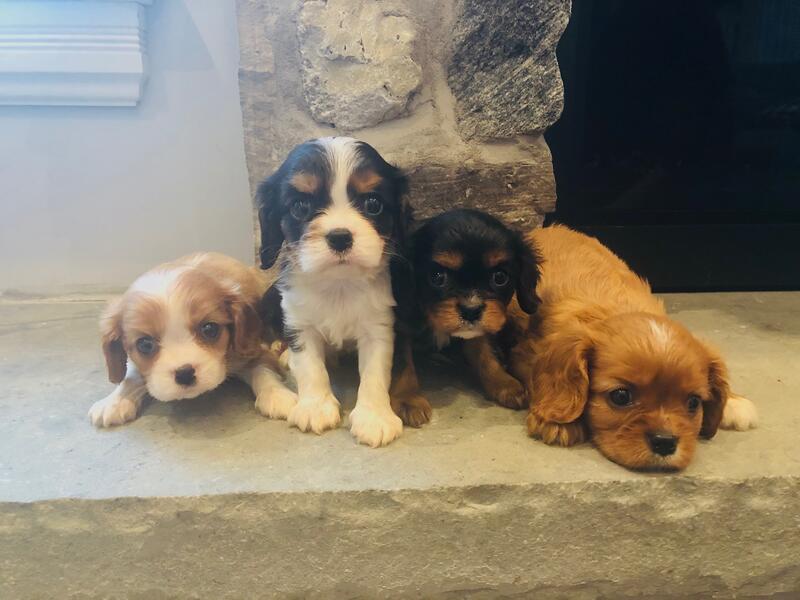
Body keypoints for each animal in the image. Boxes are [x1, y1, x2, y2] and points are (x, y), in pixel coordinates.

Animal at [89, 253, 295, 427]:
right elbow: (130, 375)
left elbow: (264, 370)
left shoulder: (251, 348)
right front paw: (115, 401)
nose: (185, 374)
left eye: (210, 329)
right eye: (145, 344)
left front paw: (278, 395)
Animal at [257, 137, 411, 447]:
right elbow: (310, 367)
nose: (340, 237)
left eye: (373, 204)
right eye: (300, 206)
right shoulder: (299, 324)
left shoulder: (378, 327)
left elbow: (375, 373)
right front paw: (315, 407)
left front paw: (375, 417)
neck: (338, 284)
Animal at [390, 209, 540, 427]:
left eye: (500, 277)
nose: (471, 310)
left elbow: (484, 353)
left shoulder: (477, 331)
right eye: (437, 276)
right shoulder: (398, 327)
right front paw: (408, 399)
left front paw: (504, 383)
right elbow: (402, 364)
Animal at [502, 225, 757, 470]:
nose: (665, 442)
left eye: (694, 402)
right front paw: (556, 422)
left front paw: (733, 401)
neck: (614, 308)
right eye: (621, 396)